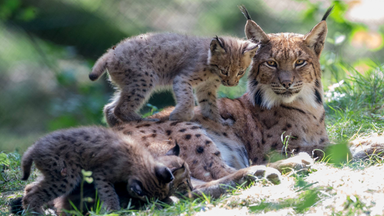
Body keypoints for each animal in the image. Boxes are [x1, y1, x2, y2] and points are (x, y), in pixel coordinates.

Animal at [89, 33, 258, 125]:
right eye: (224, 71)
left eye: (240, 72)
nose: (231, 84)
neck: (213, 72)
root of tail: (111, 52)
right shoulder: (183, 78)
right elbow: (188, 99)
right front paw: (179, 116)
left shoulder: (206, 88)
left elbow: (210, 105)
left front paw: (219, 121)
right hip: (145, 79)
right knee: (120, 108)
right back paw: (144, 120)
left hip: (129, 83)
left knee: (109, 108)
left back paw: (116, 127)